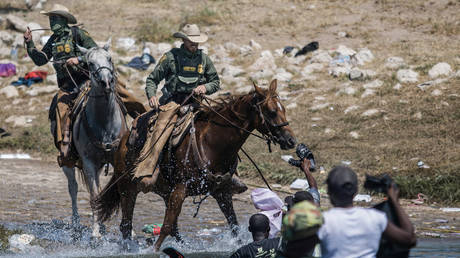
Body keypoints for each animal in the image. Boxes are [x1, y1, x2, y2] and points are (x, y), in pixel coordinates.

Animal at [60, 40, 127, 238]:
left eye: (109, 58)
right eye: (90, 63)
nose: (106, 82)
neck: (105, 124)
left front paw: (130, 231)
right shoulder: (89, 163)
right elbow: (94, 196)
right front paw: (95, 232)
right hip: (69, 163)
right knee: (73, 188)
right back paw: (77, 223)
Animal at [94, 79, 294, 251]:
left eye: (284, 109)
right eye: (272, 111)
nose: (291, 140)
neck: (212, 143)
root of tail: (123, 141)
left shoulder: (222, 192)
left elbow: (234, 225)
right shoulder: (181, 189)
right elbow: (166, 226)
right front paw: (155, 250)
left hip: (165, 191)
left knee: (172, 228)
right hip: (128, 189)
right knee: (126, 225)